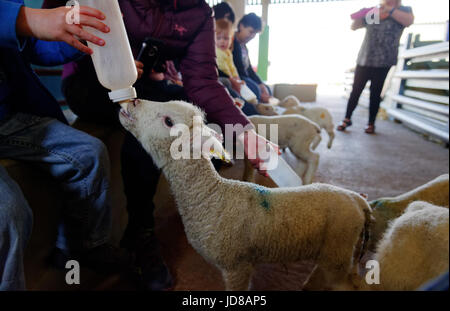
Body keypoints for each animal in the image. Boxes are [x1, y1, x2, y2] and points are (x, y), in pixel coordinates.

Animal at [118, 100, 372, 292]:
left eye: (168, 121)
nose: (133, 101)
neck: (211, 197)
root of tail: (359, 201)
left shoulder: (236, 265)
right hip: (338, 252)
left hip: (337, 249)